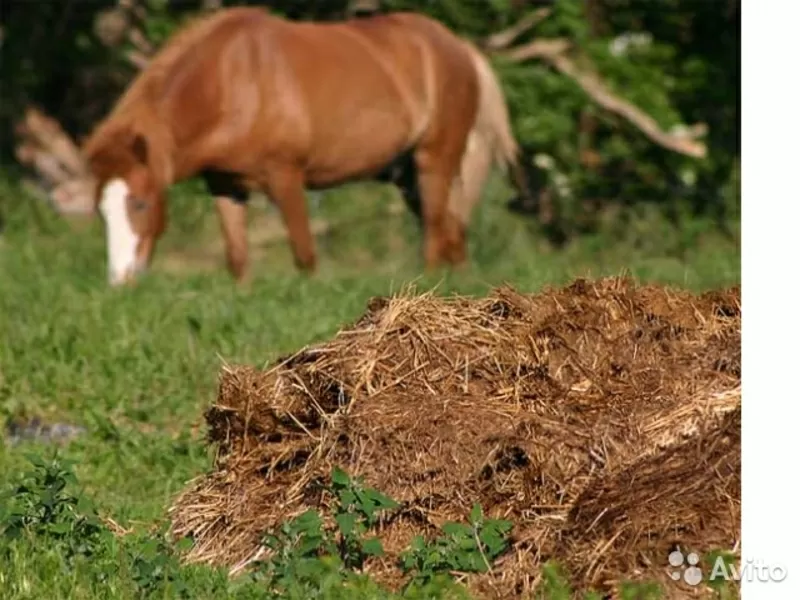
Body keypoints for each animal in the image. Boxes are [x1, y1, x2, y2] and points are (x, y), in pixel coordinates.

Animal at [81, 5, 524, 284]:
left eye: (140, 203)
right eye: (101, 211)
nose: (120, 280)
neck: (232, 82)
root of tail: (459, 47)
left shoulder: (286, 177)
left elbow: (304, 255)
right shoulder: (225, 185)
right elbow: (238, 259)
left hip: (435, 159)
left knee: (435, 230)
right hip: (406, 175)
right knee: (452, 230)